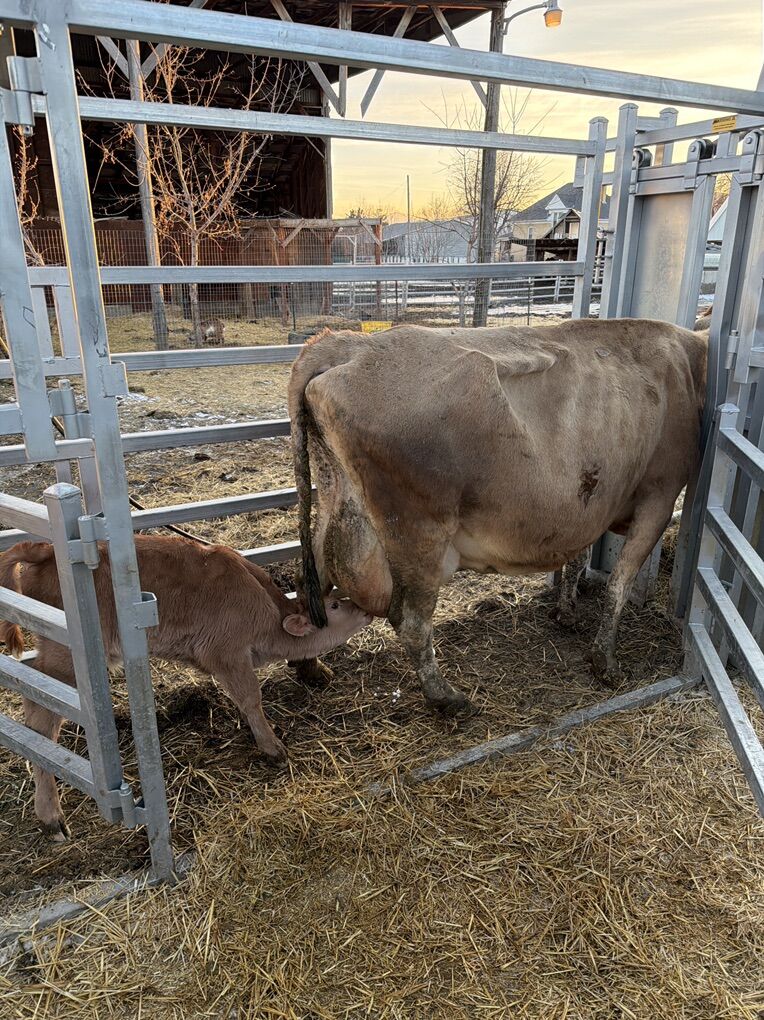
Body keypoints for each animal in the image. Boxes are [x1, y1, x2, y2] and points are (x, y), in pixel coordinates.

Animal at [0, 535, 371, 839]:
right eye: (335, 606)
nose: (366, 610)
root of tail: (45, 550)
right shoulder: (227, 654)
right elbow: (251, 699)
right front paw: (273, 747)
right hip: (65, 655)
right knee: (44, 721)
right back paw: (51, 817)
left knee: (34, 698)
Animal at [288, 318, 707, 714]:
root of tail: (348, 343)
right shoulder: (660, 495)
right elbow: (619, 582)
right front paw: (605, 662)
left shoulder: (596, 501)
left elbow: (580, 557)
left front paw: (567, 612)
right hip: (419, 533)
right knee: (411, 623)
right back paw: (448, 698)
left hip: (335, 505)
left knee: (308, 591)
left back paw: (312, 670)